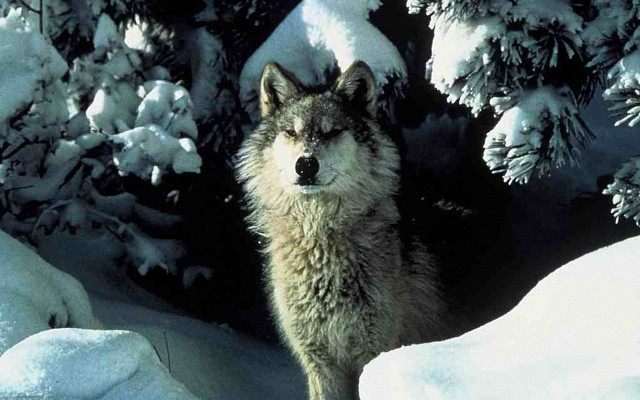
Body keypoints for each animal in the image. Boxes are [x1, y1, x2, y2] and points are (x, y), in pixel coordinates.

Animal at [237, 61, 446, 400]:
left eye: (332, 131)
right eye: (291, 132)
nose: (305, 164)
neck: (320, 242)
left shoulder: (373, 352)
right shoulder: (319, 362)